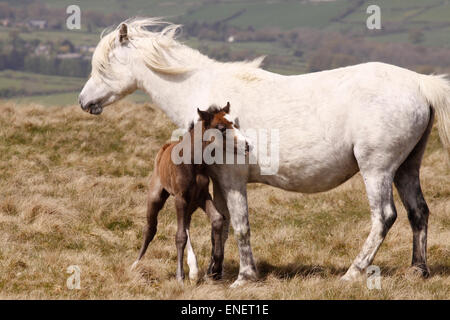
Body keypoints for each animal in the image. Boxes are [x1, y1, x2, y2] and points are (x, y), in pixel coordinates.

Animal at [132, 103, 250, 282]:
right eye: (221, 128)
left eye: (235, 124)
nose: (247, 145)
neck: (193, 162)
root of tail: (164, 148)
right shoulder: (180, 198)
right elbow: (180, 236)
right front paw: (179, 276)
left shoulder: (202, 195)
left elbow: (217, 219)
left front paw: (215, 265)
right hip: (157, 196)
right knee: (150, 228)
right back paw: (136, 263)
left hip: (192, 203)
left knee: (186, 222)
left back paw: (193, 270)